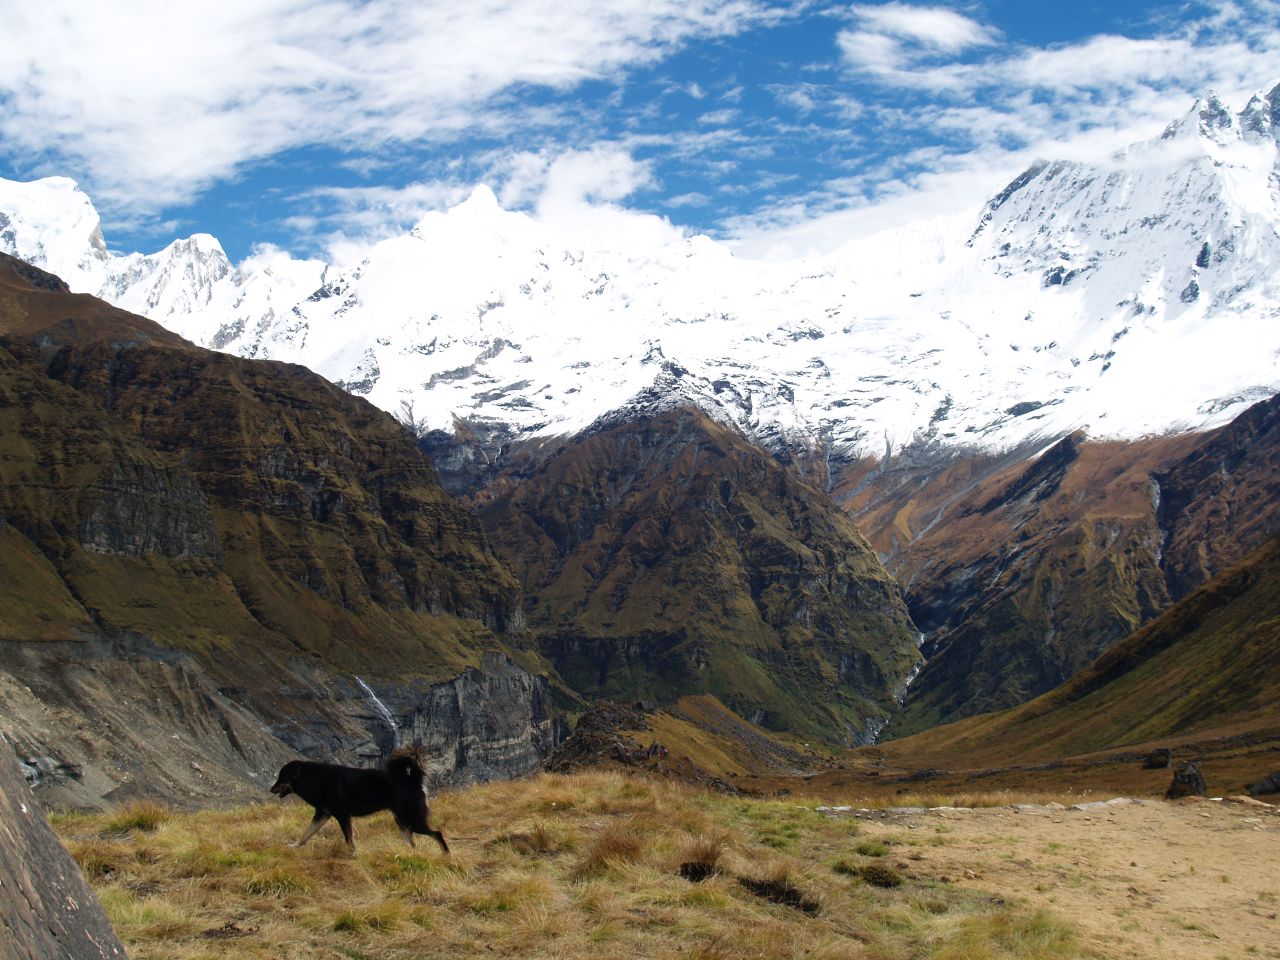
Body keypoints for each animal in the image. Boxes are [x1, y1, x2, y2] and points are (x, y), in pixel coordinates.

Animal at [270, 742, 450, 855]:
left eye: (281, 777)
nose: (271, 789)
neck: (313, 779)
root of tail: (413, 780)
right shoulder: (323, 814)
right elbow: (306, 834)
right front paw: (294, 846)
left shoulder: (342, 816)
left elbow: (348, 839)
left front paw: (352, 854)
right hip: (402, 821)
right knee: (412, 842)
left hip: (411, 818)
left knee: (437, 834)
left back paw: (446, 856)